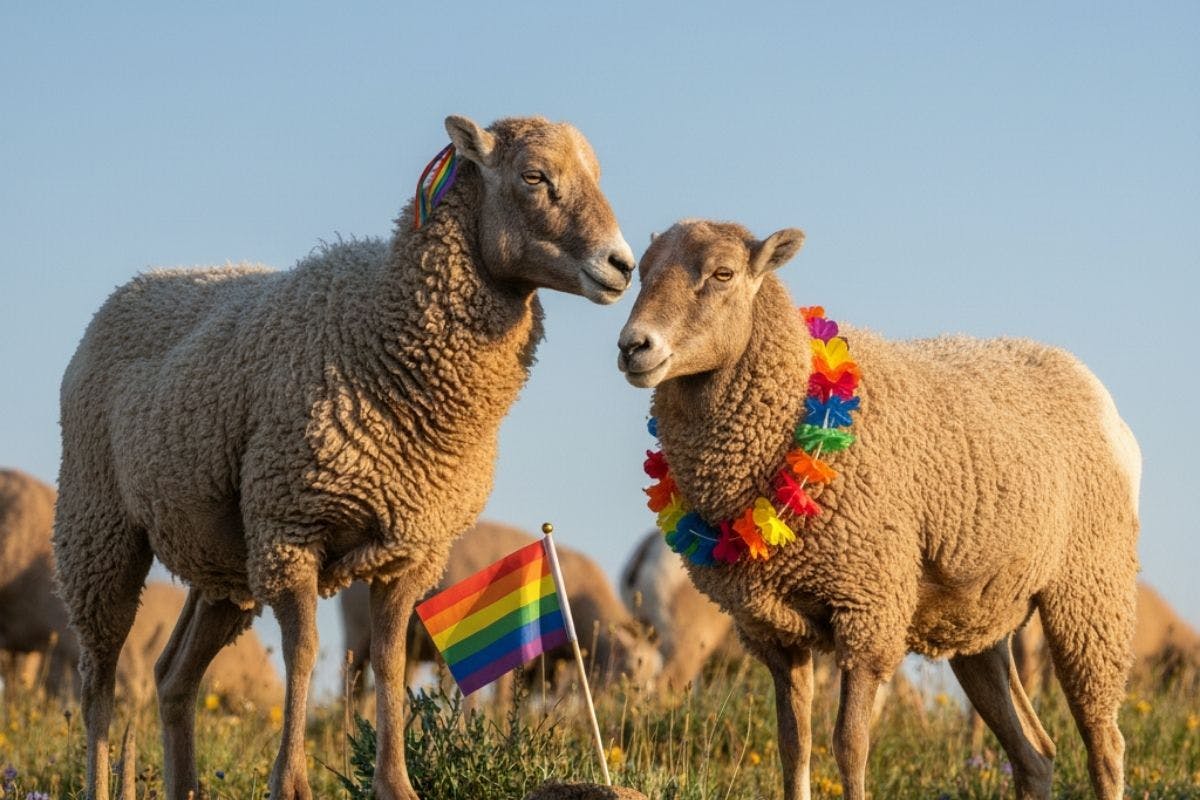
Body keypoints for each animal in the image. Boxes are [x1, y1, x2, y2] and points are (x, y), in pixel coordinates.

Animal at [342, 520, 661, 704]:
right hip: (356, 633)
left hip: (407, 647)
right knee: (351, 685)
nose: (641, 709)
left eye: (653, 675)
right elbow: (502, 702)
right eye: (631, 670)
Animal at [616, 219, 1140, 800]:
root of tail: (1088, 384)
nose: (633, 345)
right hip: (978, 618)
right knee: (1035, 753)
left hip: (1090, 588)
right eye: (641, 272)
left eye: (723, 273)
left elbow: (849, 744)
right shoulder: (773, 631)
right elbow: (792, 745)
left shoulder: (868, 607)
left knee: (1105, 744)